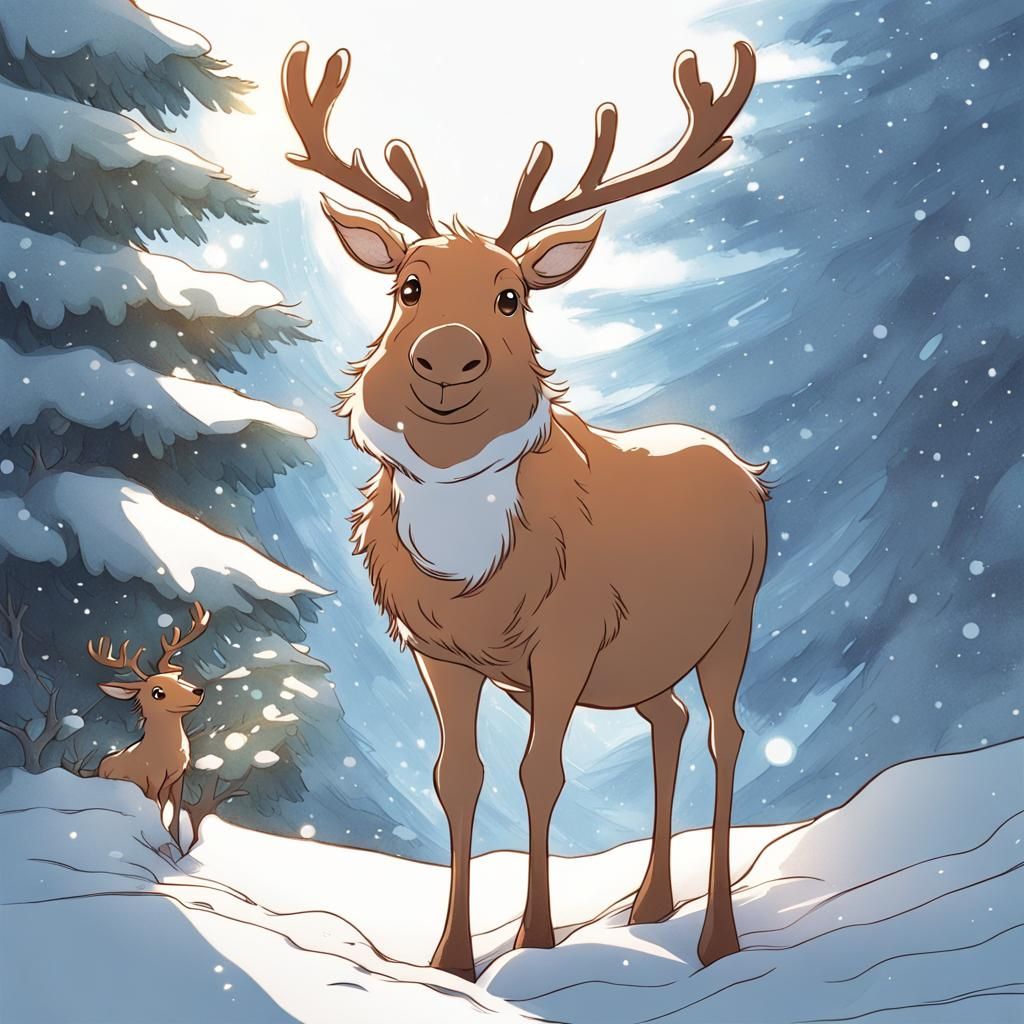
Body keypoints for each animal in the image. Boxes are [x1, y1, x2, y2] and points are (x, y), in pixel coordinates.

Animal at [87, 601, 210, 850]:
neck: (165, 757)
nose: (198, 690)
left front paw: (179, 849)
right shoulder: (150, 781)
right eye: (157, 692)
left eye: (177, 678)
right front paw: (166, 850)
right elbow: (160, 817)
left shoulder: (178, 779)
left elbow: (174, 821)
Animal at [282, 38, 765, 980]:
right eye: (408, 285)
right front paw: (450, 959)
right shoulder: (438, 651)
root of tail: (748, 467)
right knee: (671, 719)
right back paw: (651, 907)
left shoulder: (568, 636)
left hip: (734, 618)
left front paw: (535, 941)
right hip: (645, 657)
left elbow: (542, 774)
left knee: (725, 734)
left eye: (513, 296)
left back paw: (717, 937)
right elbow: (456, 778)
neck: (473, 574)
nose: (447, 356)